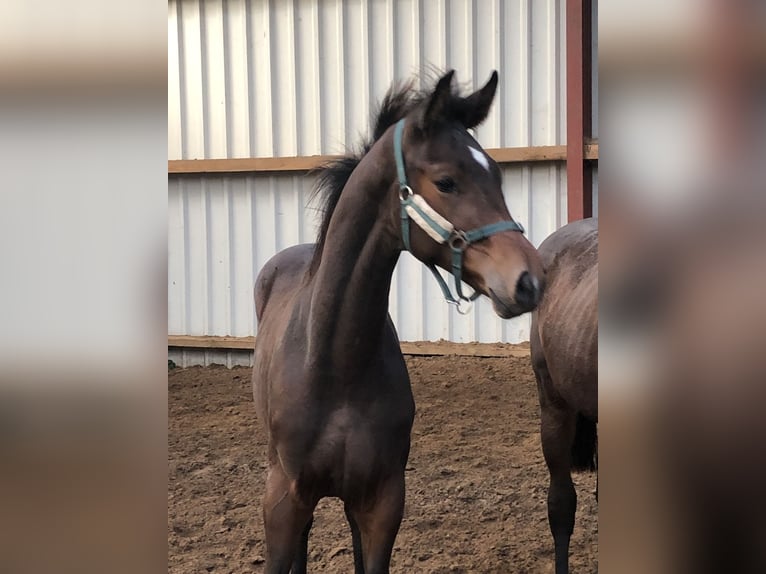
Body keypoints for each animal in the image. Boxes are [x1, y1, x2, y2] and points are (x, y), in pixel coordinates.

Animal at [252, 72, 544, 574]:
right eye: (446, 181)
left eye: (497, 175)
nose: (529, 281)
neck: (336, 367)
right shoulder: (283, 501)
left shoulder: (381, 503)